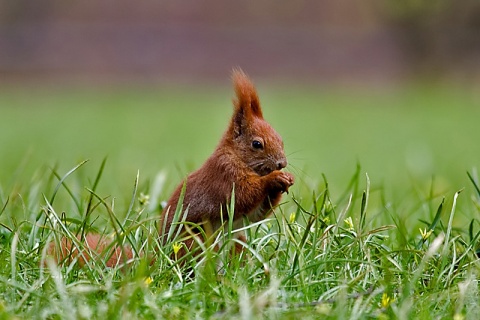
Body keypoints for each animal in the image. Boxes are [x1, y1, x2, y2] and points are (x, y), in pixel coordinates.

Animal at [47, 69, 292, 268]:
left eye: (281, 139)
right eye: (257, 144)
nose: (282, 164)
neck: (237, 157)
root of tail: (159, 259)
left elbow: (256, 215)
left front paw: (285, 180)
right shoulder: (224, 175)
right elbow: (242, 195)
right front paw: (273, 179)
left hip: (235, 243)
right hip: (195, 242)